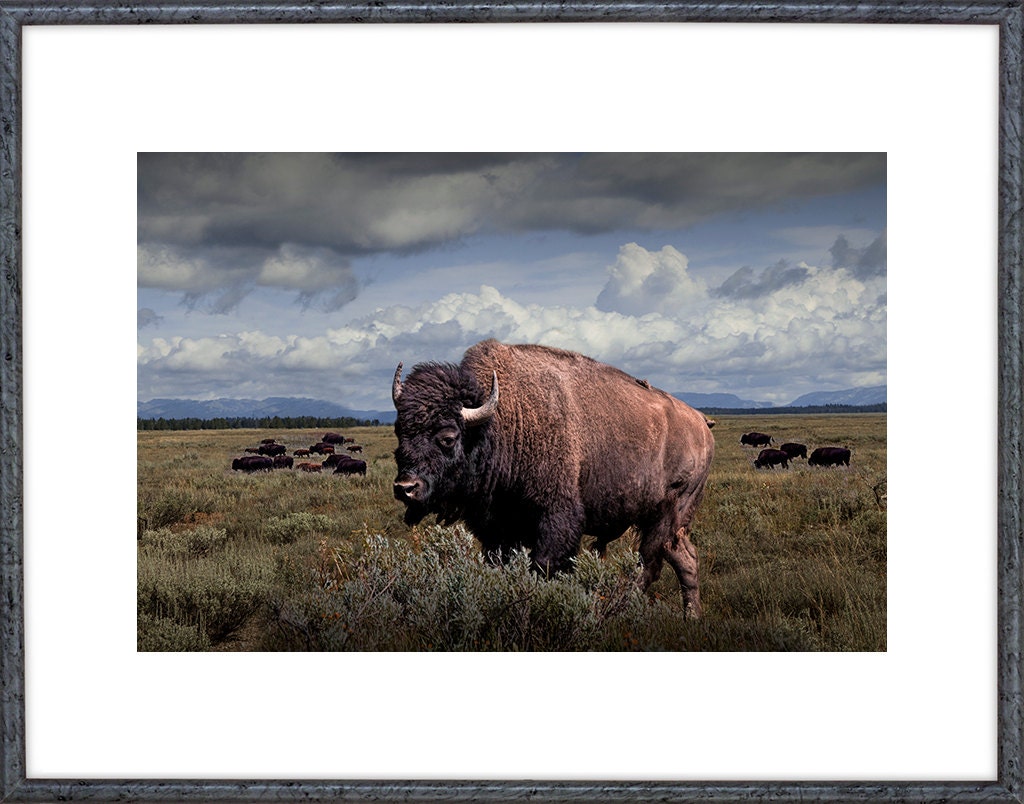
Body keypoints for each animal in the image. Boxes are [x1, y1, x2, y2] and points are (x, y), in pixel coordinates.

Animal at [391, 339, 715, 618]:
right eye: (399, 431)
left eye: (447, 437)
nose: (405, 488)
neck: (506, 421)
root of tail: (702, 424)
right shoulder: (497, 529)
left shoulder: (556, 520)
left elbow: (545, 567)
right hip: (667, 522)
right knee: (684, 558)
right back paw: (692, 617)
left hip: (667, 514)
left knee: (648, 564)